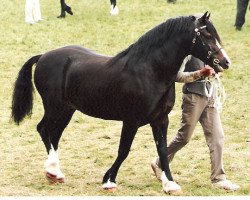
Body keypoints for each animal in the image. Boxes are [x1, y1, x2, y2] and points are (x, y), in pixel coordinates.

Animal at [11, 12, 230, 192]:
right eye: (207, 35)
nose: (225, 62)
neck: (151, 71)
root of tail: (43, 56)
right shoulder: (131, 120)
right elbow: (124, 150)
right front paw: (109, 181)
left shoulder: (160, 120)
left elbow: (162, 149)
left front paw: (170, 183)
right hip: (54, 107)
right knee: (43, 129)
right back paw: (53, 170)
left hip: (67, 110)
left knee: (54, 135)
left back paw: (55, 174)